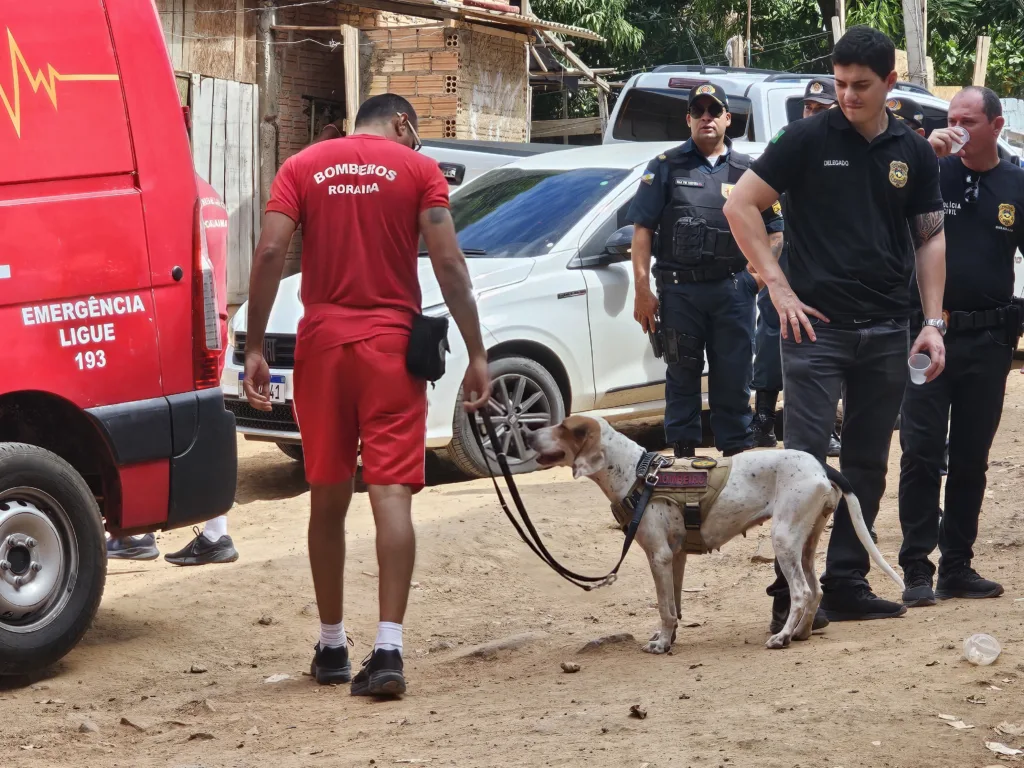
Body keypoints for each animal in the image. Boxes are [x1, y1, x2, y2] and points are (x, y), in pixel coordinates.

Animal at [528, 415, 905, 655]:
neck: (638, 473)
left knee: (800, 592)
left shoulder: (658, 556)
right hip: (805, 543)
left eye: (566, 428)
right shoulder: (675, 557)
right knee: (815, 591)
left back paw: (782, 637)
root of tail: (821, 465)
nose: (530, 433)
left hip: (783, 540)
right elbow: (675, 606)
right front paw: (669, 638)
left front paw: (661, 645)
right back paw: (800, 633)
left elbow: (664, 607)